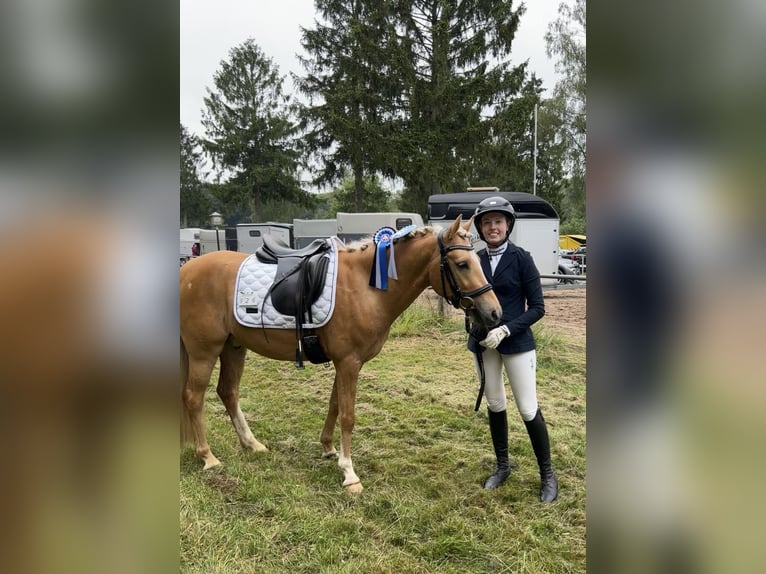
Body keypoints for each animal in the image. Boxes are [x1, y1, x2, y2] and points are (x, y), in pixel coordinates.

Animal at [180, 216, 504, 496]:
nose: (494, 313)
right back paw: (207, 456)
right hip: (204, 352)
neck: (366, 286)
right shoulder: (349, 362)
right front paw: (350, 473)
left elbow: (334, 406)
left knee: (228, 392)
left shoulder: (346, 362)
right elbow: (348, 415)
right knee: (194, 397)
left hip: (233, 347)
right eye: (462, 264)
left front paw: (329, 449)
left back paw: (251, 444)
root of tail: (186, 271)